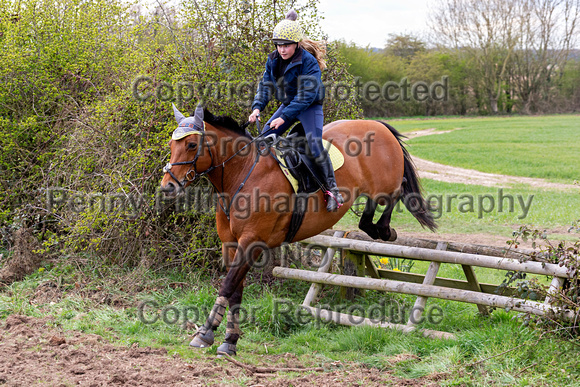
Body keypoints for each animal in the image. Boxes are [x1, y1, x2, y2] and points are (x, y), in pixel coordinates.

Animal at [159, 104, 436, 356]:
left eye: (191, 145)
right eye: (172, 145)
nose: (168, 187)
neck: (242, 173)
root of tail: (378, 125)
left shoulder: (251, 242)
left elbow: (227, 286)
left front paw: (205, 333)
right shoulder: (231, 244)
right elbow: (235, 290)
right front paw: (229, 340)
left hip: (384, 185)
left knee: (397, 189)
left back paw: (384, 230)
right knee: (371, 213)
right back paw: (376, 227)